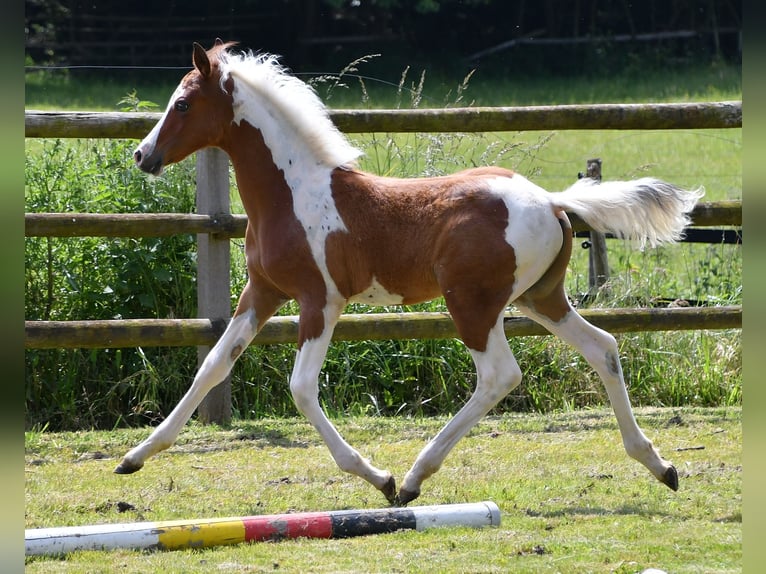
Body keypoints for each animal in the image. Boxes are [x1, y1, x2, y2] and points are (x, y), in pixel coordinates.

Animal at [118, 40, 704, 506]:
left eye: (183, 103)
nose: (142, 155)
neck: (292, 194)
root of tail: (552, 200)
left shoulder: (320, 301)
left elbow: (302, 388)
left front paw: (376, 476)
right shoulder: (262, 293)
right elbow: (212, 366)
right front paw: (134, 457)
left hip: (473, 304)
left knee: (500, 375)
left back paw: (414, 478)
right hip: (539, 299)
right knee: (603, 346)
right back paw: (661, 466)